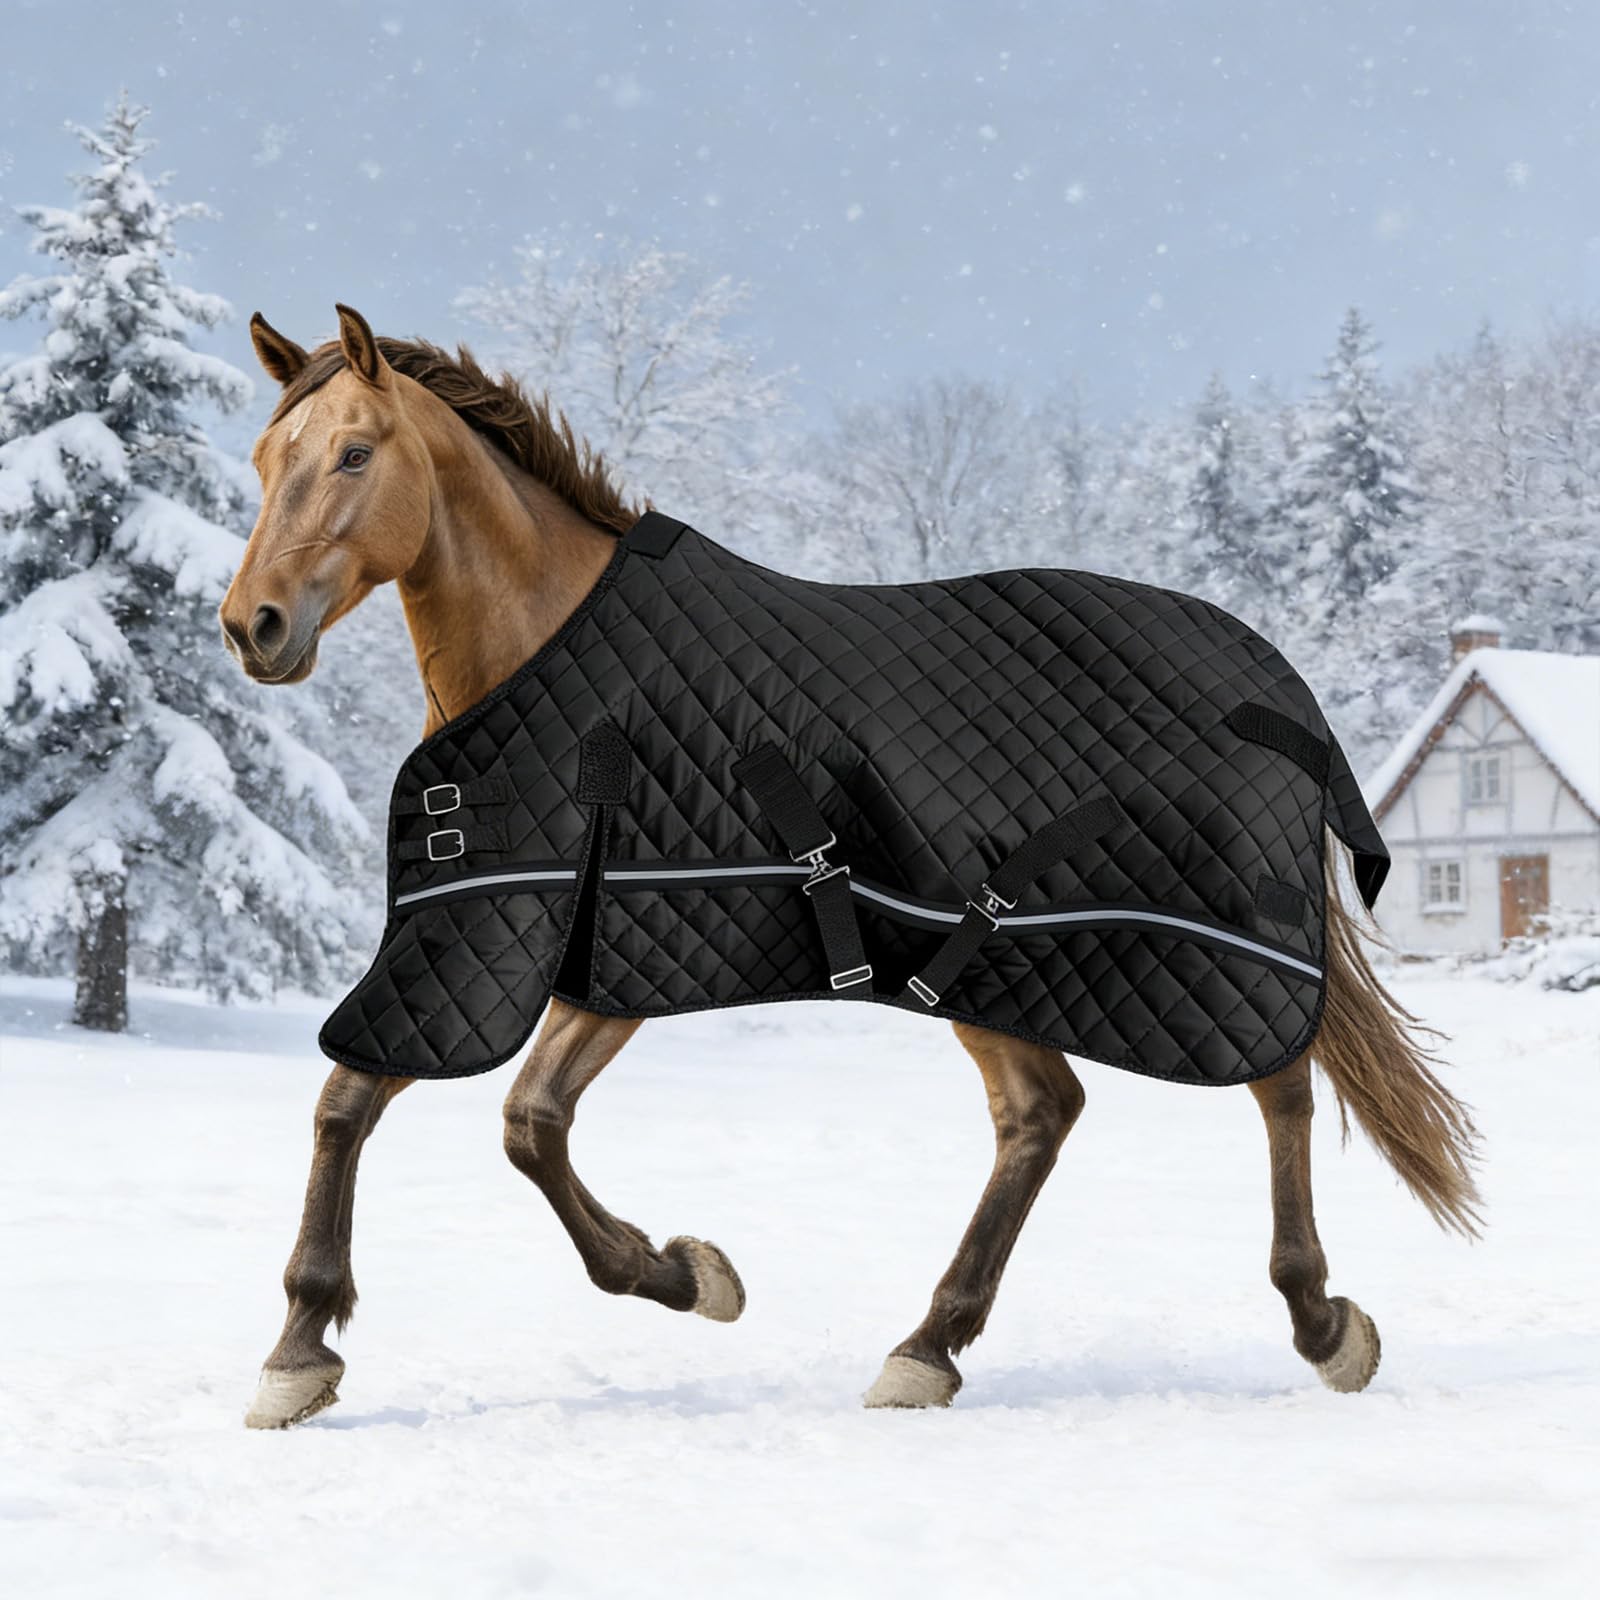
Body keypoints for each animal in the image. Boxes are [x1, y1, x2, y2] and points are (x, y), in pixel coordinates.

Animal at [219, 305, 1481, 1429]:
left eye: (354, 452)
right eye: (266, 456)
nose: (253, 626)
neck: (555, 657)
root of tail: (1276, 687)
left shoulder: (606, 934)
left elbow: (508, 1120)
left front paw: (682, 1275)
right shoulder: (547, 939)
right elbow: (396, 1107)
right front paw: (302, 1349)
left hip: (1186, 949)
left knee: (1278, 1089)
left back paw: (1319, 1323)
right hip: (1000, 961)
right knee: (1046, 1112)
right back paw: (930, 1346)